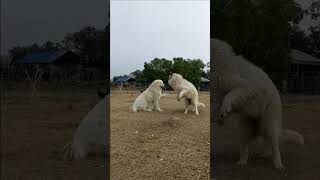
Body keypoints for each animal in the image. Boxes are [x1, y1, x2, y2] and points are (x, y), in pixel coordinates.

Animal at [211, 38, 304, 170]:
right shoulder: (221, 94)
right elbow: (219, 104)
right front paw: (218, 116)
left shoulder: (245, 87)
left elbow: (229, 96)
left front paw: (224, 109)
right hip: (245, 128)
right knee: (246, 148)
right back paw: (243, 161)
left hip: (270, 124)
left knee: (275, 144)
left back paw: (278, 164)